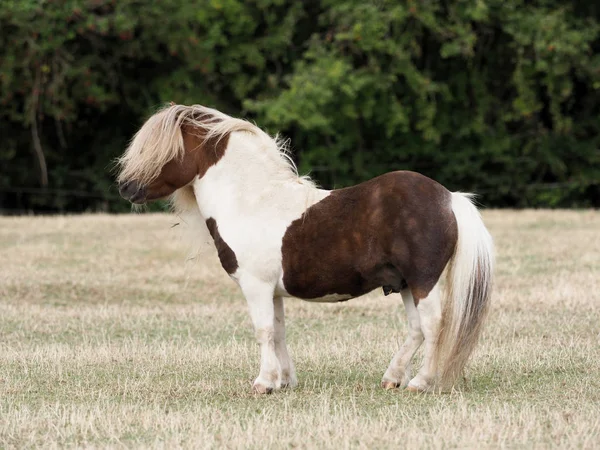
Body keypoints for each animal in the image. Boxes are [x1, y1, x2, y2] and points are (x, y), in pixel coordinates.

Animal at [116, 103, 492, 394]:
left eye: (162, 150)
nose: (126, 187)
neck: (250, 201)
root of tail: (449, 198)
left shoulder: (256, 287)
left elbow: (263, 331)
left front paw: (263, 383)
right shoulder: (273, 291)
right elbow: (278, 332)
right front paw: (283, 381)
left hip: (422, 282)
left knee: (432, 325)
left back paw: (419, 382)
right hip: (404, 285)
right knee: (416, 329)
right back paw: (392, 378)